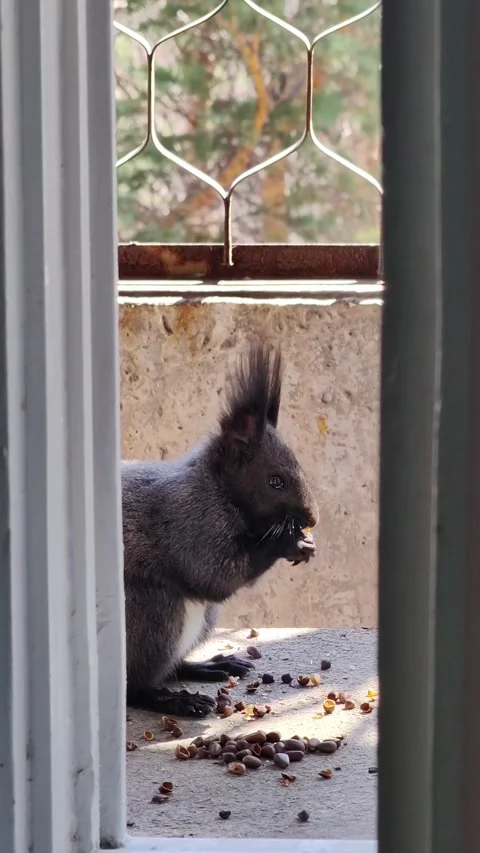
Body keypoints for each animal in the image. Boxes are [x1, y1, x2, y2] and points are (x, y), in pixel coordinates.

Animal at [122, 342, 319, 717]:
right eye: (275, 481)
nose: (312, 518)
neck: (217, 488)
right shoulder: (189, 521)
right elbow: (216, 575)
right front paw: (287, 542)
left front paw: (303, 545)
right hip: (150, 615)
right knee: (135, 687)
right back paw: (171, 699)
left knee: (172, 667)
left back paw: (209, 666)